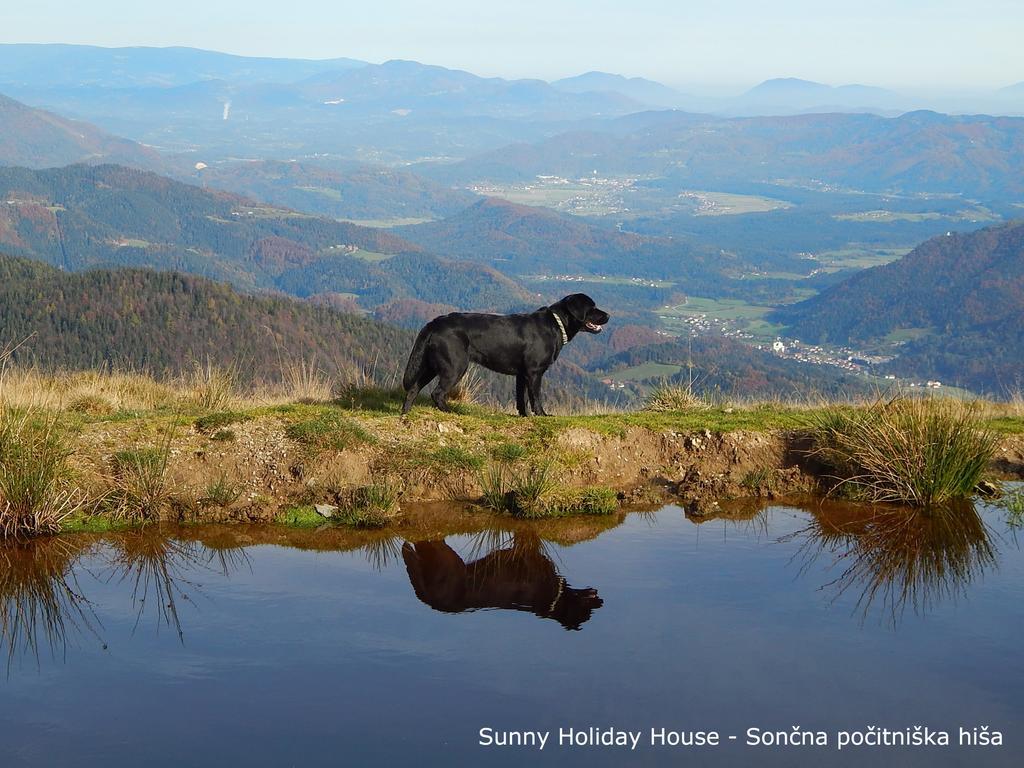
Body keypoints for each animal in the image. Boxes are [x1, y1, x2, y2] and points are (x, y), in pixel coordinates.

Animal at [399, 292, 606, 415]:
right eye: (592, 307)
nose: (609, 315)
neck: (556, 323)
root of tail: (435, 322)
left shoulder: (522, 374)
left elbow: (521, 399)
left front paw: (524, 416)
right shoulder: (534, 372)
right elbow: (535, 397)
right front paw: (542, 415)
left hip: (431, 365)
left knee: (413, 388)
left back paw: (405, 413)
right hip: (454, 366)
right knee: (437, 393)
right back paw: (450, 411)